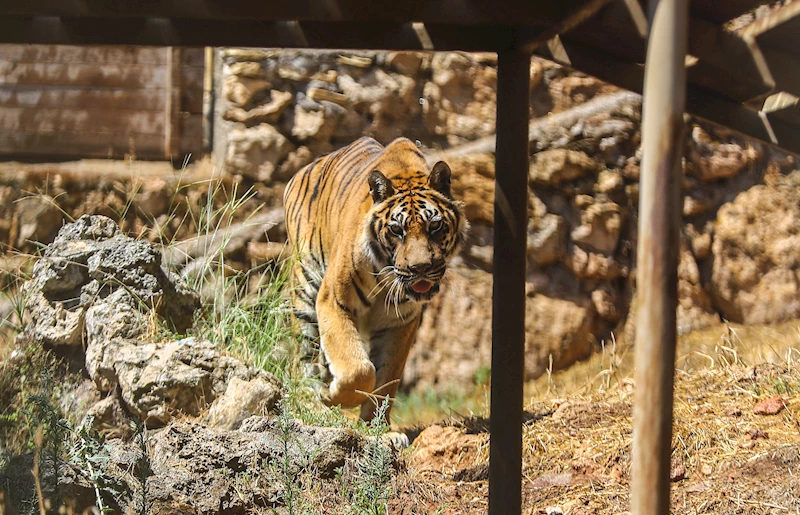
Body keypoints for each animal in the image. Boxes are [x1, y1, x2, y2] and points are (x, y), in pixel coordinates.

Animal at [284, 137, 468, 424]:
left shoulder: (400, 322)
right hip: (305, 292)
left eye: (435, 226)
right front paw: (333, 396)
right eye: (396, 229)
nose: (420, 268)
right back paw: (311, 402)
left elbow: (386, 378)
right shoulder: (332, 302)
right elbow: (358, 370)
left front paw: (376, 426)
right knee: (303, 358)